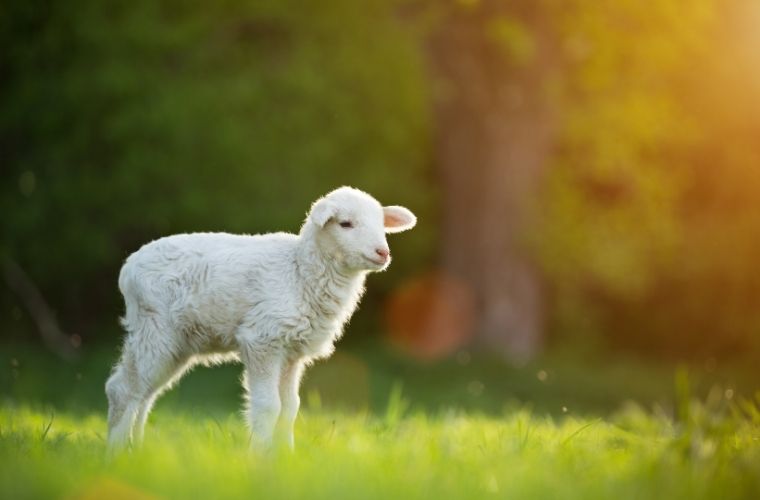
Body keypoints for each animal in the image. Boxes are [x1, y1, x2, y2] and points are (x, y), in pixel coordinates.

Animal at [105, 187, 416, 454]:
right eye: (346, 224)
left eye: (381, 224)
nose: (382, 252)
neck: (299, 271)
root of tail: (128, 268)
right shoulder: (263, 339)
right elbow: (269, 406)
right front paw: (260, 458)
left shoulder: (292, 352)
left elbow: (290, 408)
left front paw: (287, 457)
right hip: (154, 327)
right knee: (123, 390)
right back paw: (116, 454)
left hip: (177, 342)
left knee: (144, 393)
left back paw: (137, 449)